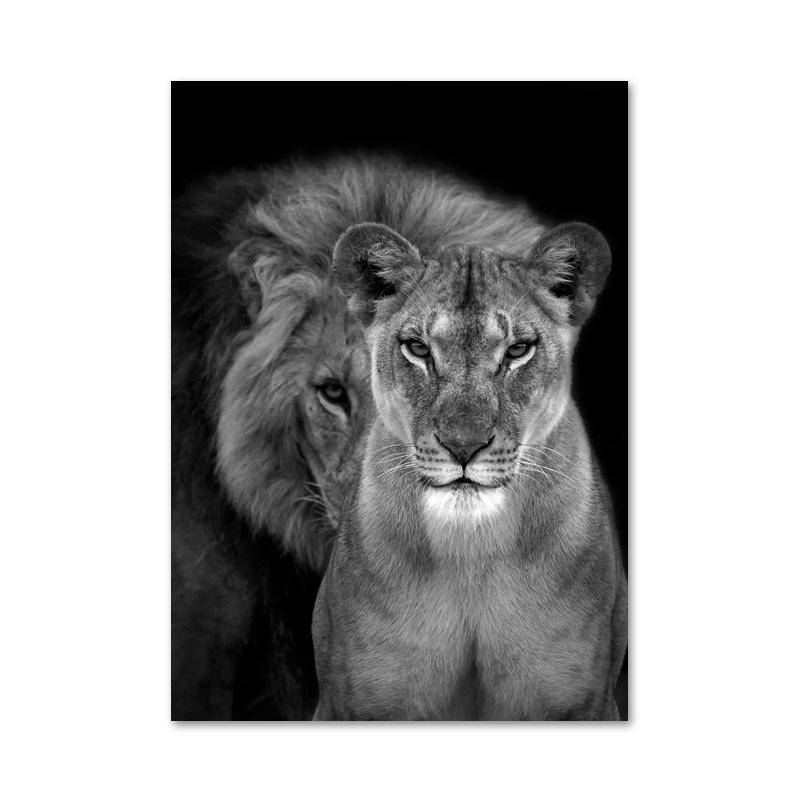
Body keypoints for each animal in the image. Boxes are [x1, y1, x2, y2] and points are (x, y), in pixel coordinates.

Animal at [312, 222, 627, 720]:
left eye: (517, 350)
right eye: (417, 348)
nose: (463, 447)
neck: (470, 551)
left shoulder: (583, 702)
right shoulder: (354, 701)